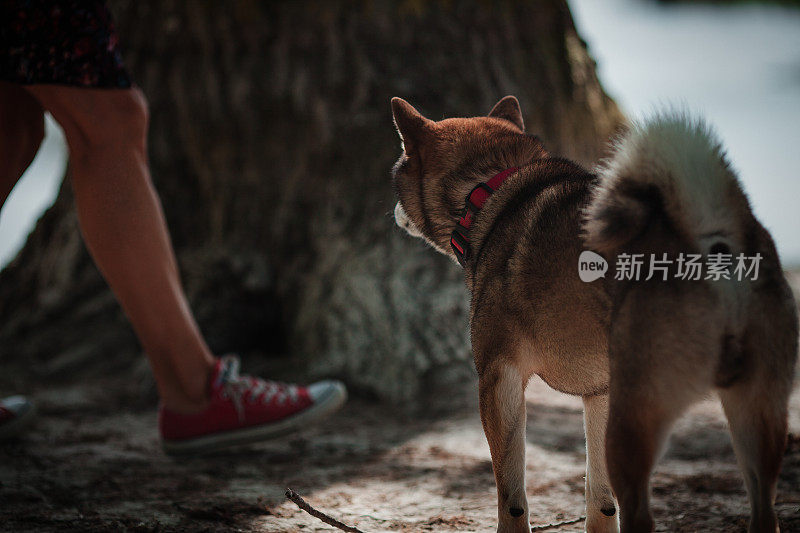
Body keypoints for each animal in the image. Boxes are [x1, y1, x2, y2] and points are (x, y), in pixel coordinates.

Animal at [390, 96, 796, 532]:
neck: (490, 190)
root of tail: (711, 244)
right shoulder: (599, 394)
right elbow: (600, 501)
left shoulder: (499, 381)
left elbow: (511, 496)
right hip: (755, 415)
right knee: (764, 509)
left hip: (634, 422)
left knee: (641, 514)